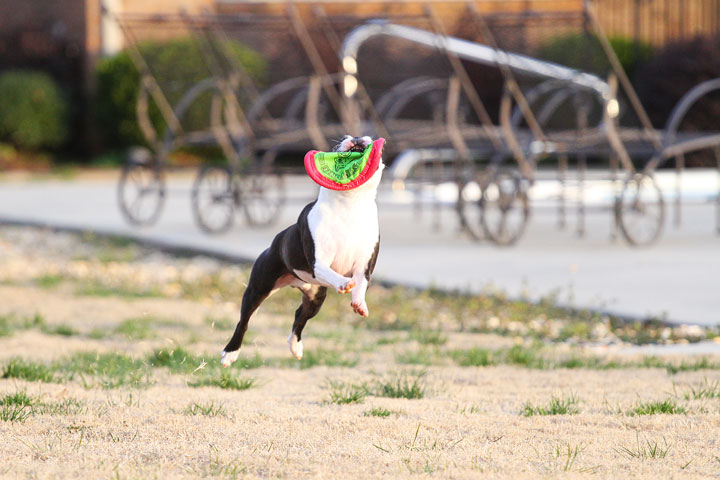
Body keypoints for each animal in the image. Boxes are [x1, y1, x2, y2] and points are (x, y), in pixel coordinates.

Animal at [222, 133, 382, 366]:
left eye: (368, 136)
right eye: (343, 138)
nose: (356, 138)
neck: (349, 204)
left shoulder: (364, 266)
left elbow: (361, 285)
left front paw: (360, 304)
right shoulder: (318, 262)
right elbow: (333, 274)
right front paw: (344, 283)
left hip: (315, 296)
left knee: (300, 315)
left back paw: (295, 346)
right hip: (258, 288)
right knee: (244, 321)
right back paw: (230, 353)